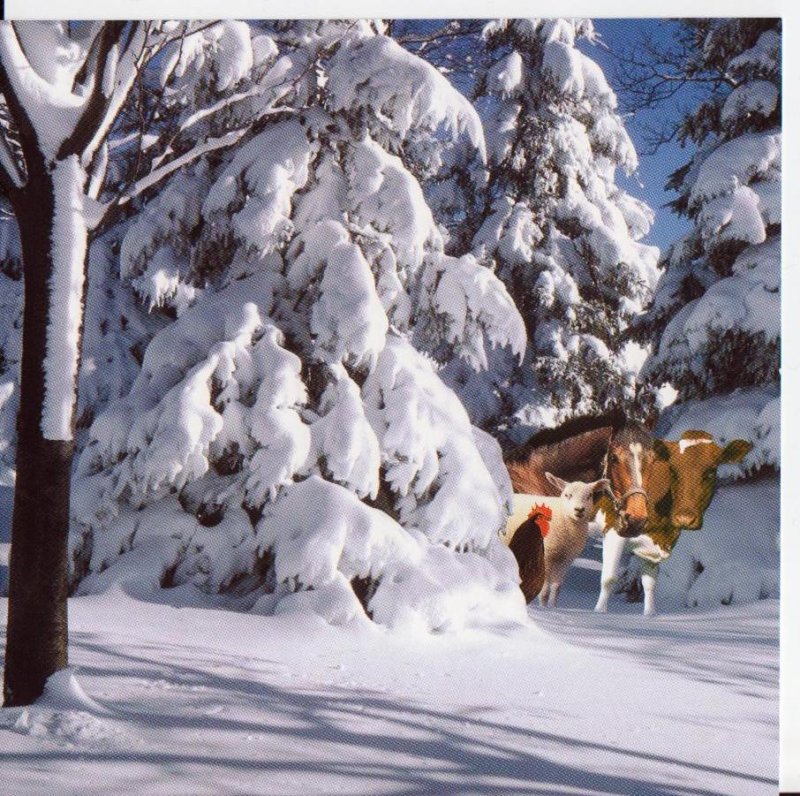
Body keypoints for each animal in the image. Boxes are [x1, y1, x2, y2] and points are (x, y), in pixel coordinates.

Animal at [504, 472, 609, 607]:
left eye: (589, 495)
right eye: (567, 495)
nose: (579, 510)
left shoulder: (566, 559)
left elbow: (557, 588)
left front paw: (553, 607)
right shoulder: (547, 557)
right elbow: (544, 591)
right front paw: (543, 607)